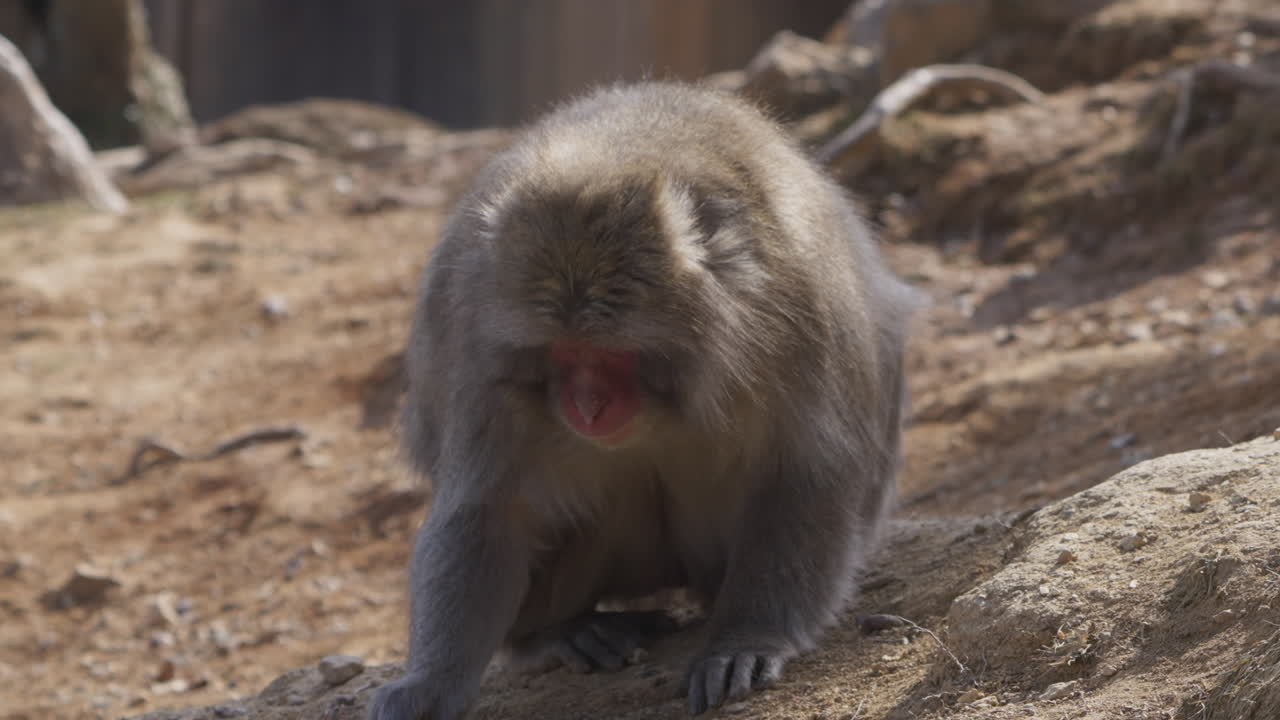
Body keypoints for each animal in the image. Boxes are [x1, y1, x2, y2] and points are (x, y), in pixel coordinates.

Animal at [368, 80, 920, 720]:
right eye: (562, 352)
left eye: (611, 353)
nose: (587, 406)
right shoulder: (479, 352)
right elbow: (488, 509)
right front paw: (430, 683)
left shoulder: (801, 317)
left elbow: (805, 473)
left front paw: (748, 637)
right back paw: (556, 632)